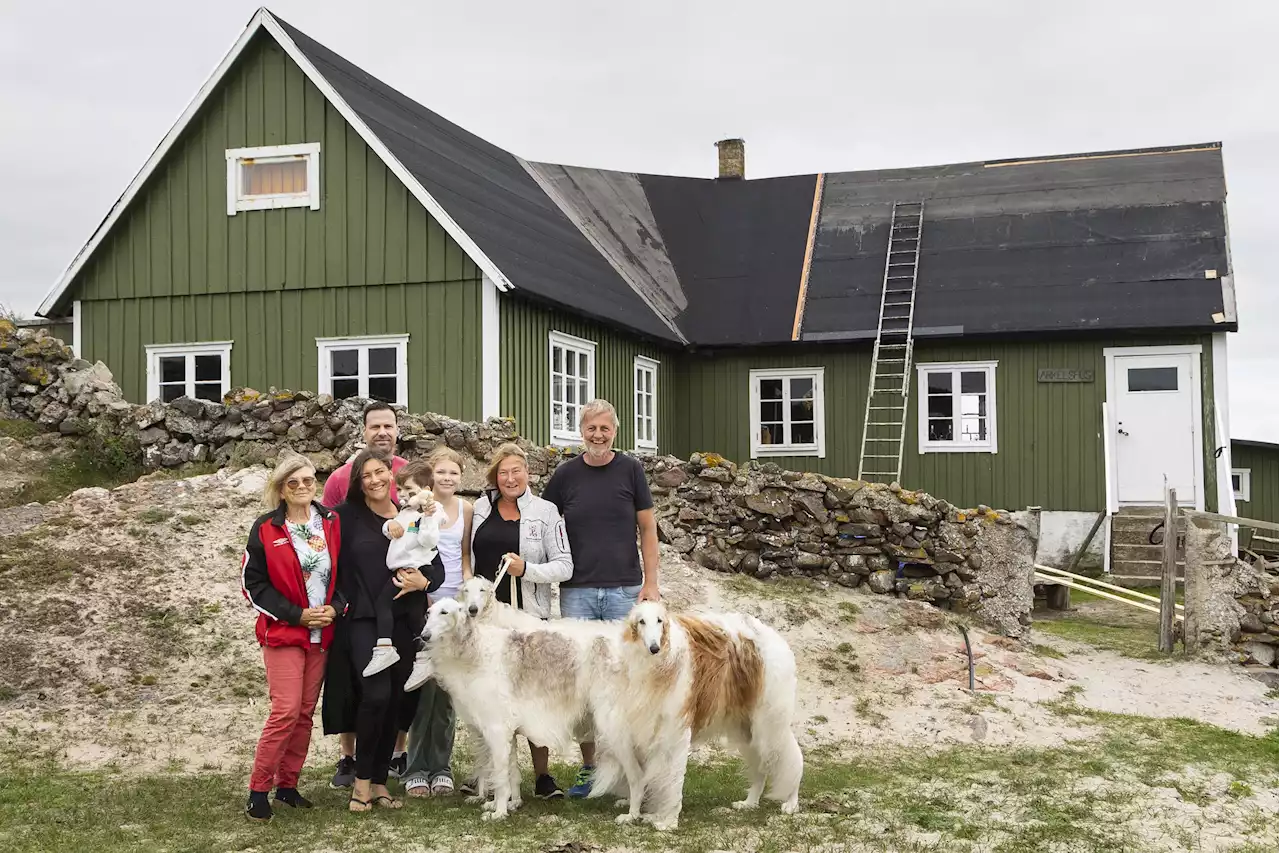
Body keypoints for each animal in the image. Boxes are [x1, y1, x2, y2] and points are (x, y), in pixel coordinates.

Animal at [586, 594, 798, 824]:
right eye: (641, 622)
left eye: (660, 621)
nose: (654, 648)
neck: (655, 667)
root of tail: (774, 636)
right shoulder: (639, 731)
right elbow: (638, 780)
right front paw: (634, 812)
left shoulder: (675, 729)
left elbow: (673, 779)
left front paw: (667, 820)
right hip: (746, 728)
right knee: (760, 769)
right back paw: (749, 803)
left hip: (769, 723)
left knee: (792, 756)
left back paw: (791, 802)